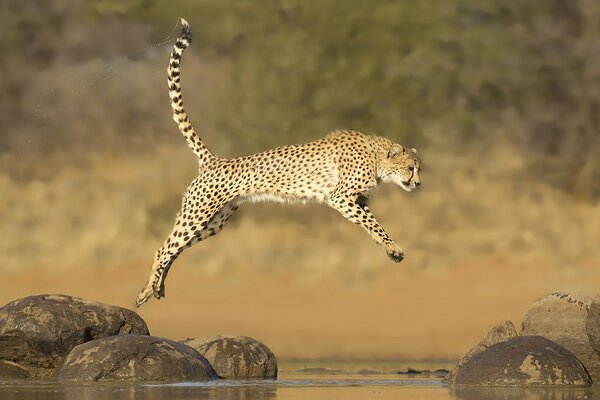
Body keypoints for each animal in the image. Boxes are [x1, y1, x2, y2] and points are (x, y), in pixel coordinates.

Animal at [135, 18, 422, 306]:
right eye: (410, 168)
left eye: (419, 169)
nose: (418, 183)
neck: (377, 158)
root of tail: (215, 160)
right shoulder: (339, 197)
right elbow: (372, 223)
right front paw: (394, 248)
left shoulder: (357, 200)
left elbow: (373, 224)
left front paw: (391, 250)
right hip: (198, 213)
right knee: (164, 248)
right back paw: (147, 290)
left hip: (215, 221)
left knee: (174, 249)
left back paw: (156, 289)